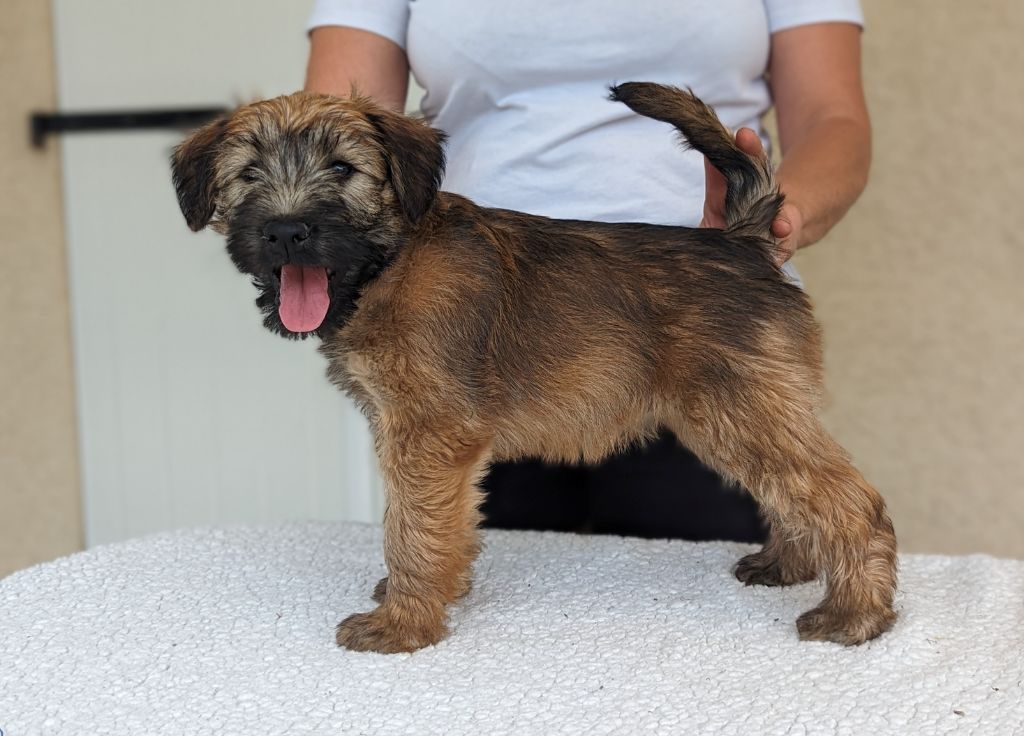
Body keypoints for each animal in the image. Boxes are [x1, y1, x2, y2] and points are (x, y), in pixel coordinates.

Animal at [171, 83, 898, 653]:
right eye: (248, 175)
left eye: (344, 169)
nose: (286, 231)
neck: (389, 261)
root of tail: (742, 240)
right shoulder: (411, 431)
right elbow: (433, 519)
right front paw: (437, 588)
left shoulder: (428, 432)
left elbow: (411, 526)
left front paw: (403, 622)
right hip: (744, 415)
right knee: (797, 491)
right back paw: (790, 565)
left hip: (742, 409)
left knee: (848, 499)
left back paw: (855, 614)